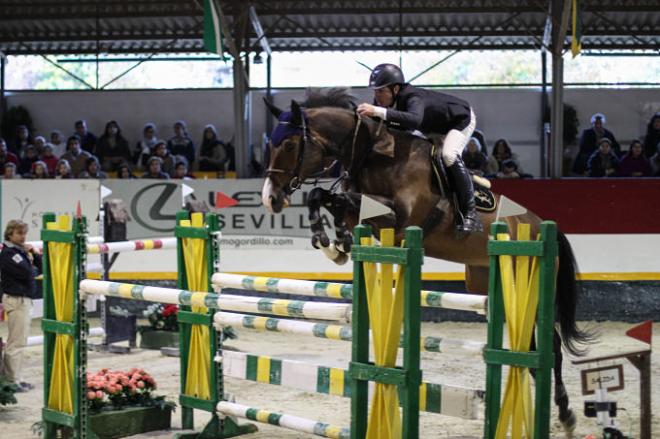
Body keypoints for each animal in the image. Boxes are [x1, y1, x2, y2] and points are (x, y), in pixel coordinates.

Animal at [260, 89, 592, 436]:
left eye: (289, 144)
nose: (271, 199)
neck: (374, 152)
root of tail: (541, 225)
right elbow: (325, 199)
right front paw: (335, 244)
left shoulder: (400, 218)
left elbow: (343, 201)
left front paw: (335, 243)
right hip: (492, 283)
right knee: (528, 347)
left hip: (531, 286)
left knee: (552, 346)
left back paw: (566, 415)